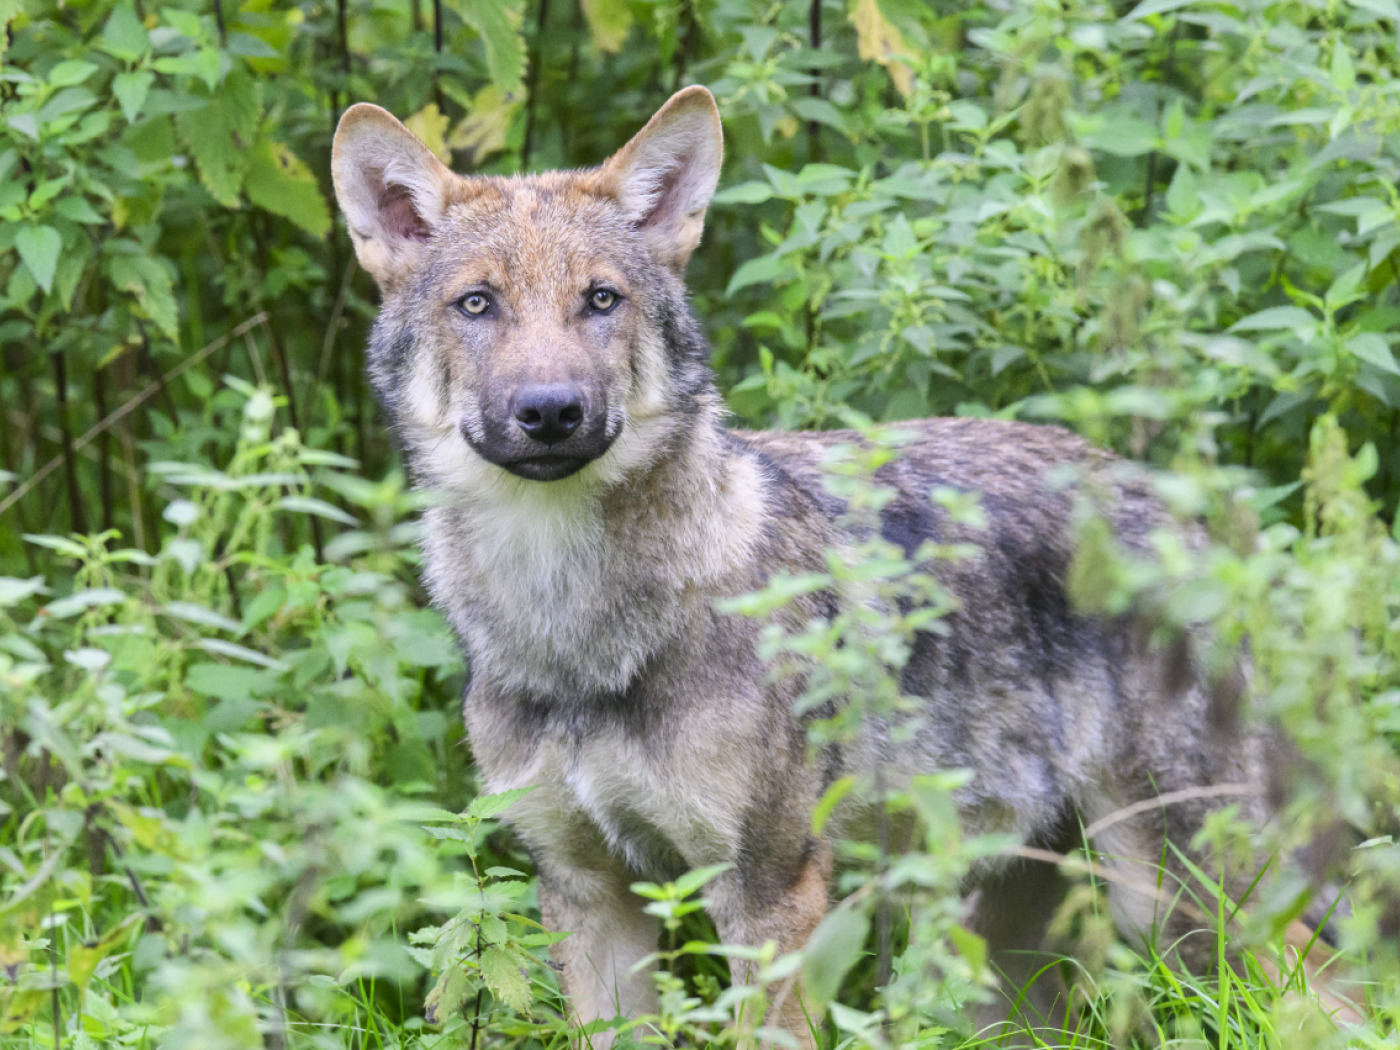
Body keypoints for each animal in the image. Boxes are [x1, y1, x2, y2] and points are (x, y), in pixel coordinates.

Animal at [331, 87, 1293, 1046]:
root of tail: (1180, 511)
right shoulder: (587, 894)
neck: (573, 629)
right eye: (477, 303)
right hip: (1010, 964)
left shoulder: (768, 893)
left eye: (600, 299)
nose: (550, 410)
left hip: (1182, 906)